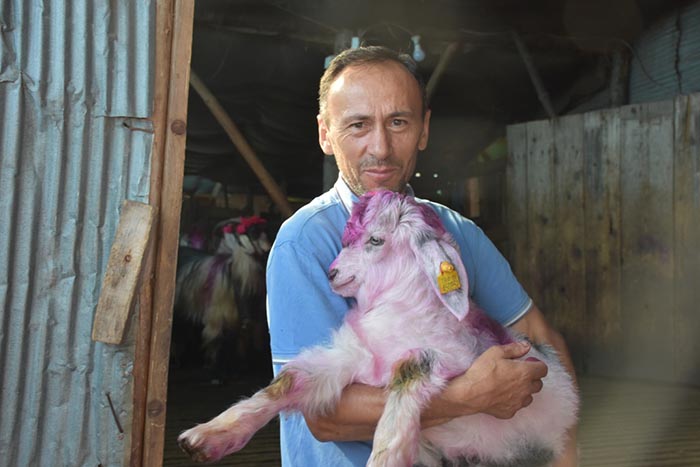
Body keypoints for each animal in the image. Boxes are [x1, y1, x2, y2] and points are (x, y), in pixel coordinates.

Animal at [173, 216, 270, 381]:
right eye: (252, 232)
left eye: (265, 230)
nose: (267, 249)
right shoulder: (217, 318)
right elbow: (217, 342)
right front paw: (216, 375)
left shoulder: (237, 323)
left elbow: (235, 344)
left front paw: (234, 371)